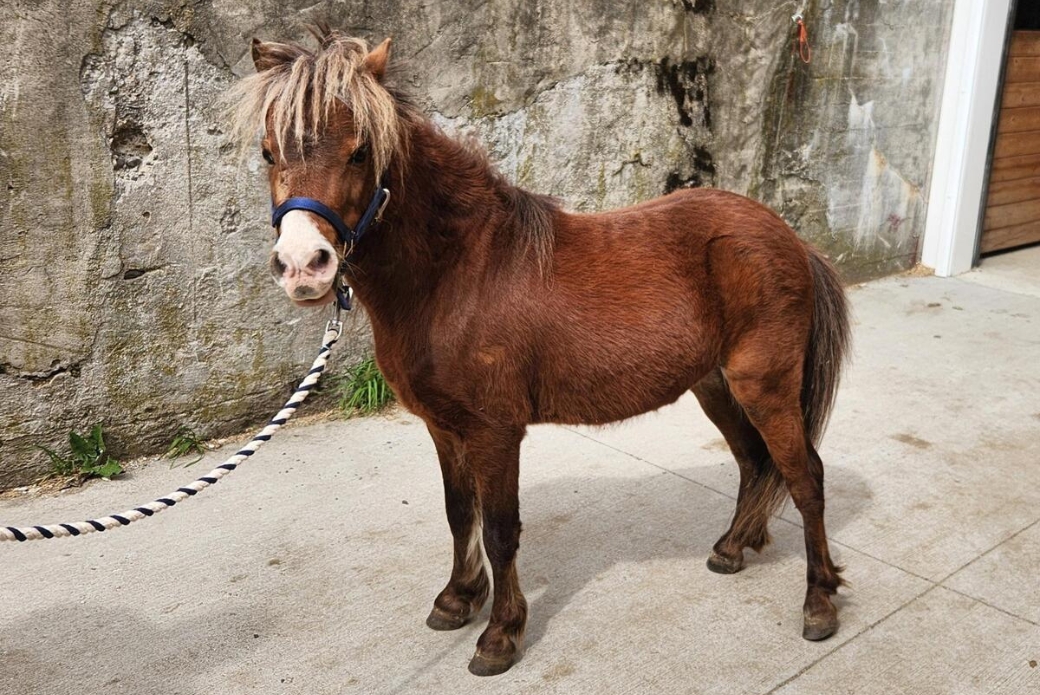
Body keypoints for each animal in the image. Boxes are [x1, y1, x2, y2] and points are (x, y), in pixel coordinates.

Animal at [230, 28, 851, 677]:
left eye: (359, 152)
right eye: (268, 153)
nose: (304, 266)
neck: (457, 274)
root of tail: (791, 239)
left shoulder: (495, 431)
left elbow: (501, 529)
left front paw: (500, 634)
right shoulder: (444, 426)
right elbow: (460, 513)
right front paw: (457, 600)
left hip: (766, 384)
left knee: (804, 476)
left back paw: (819, 603)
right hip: (716, 385)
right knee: (755, 461)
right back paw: (732, 548)